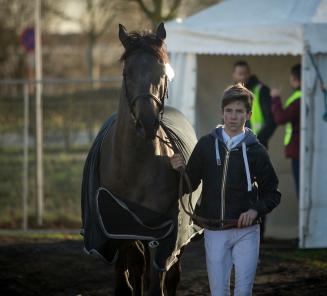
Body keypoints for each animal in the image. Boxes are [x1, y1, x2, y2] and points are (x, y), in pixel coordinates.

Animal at [80, 22, 202, 294]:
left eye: (163, 71)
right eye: (127, 73)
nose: (148, 123)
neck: (134, 166)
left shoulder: (162, 231)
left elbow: (157, 279)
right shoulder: (120, 226)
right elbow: (131, 273)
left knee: (171, 274)